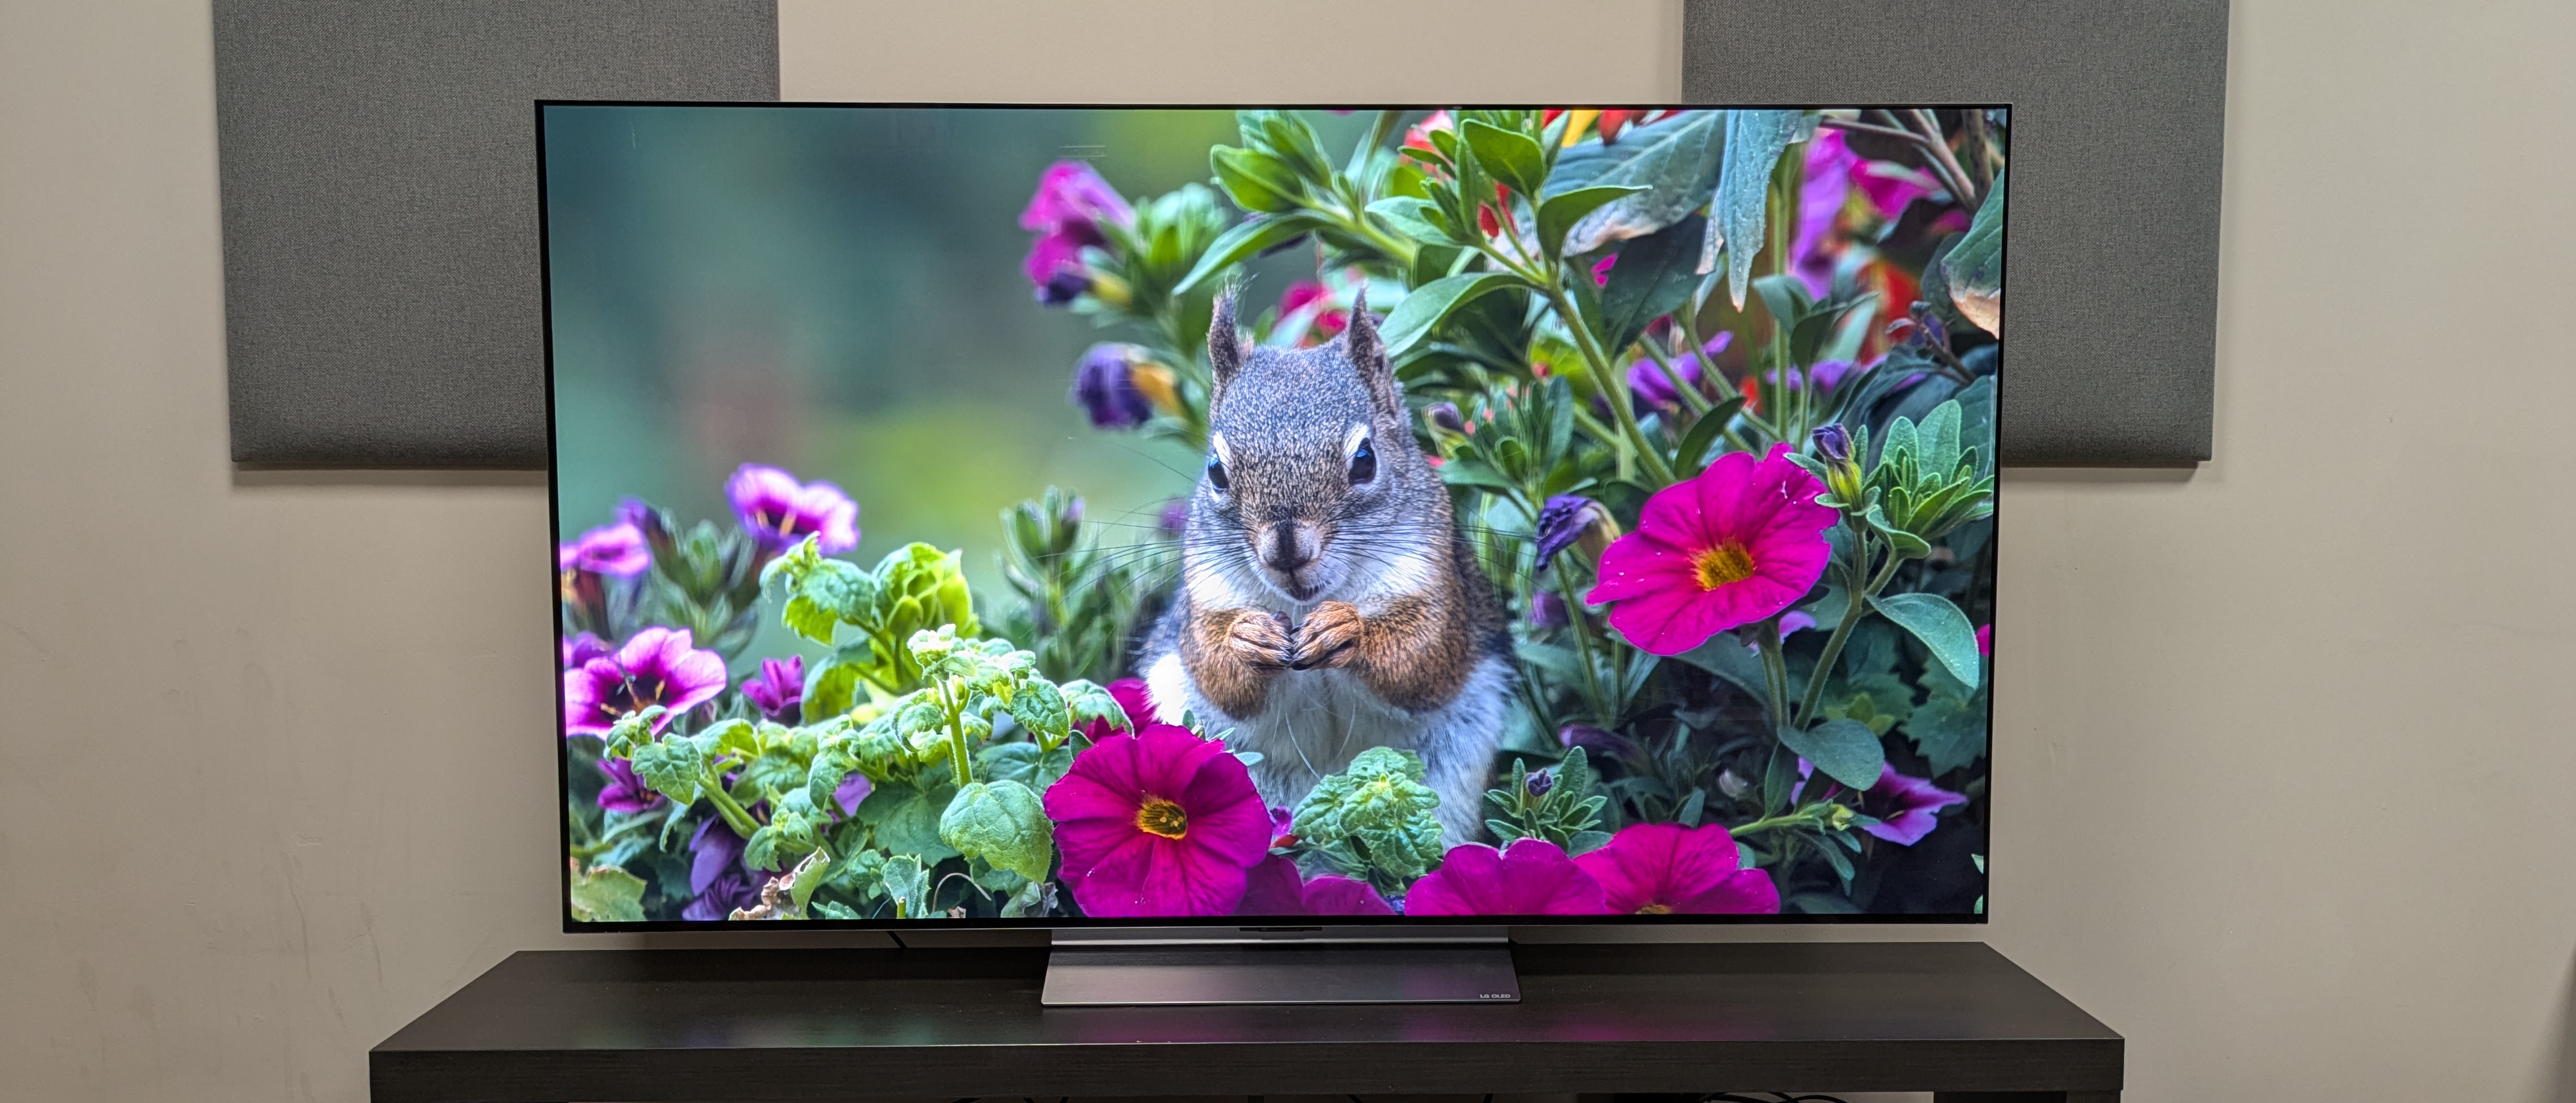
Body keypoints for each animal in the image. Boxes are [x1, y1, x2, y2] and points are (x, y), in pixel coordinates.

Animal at [1141, 287, 1513, 844]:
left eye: (1365, 460)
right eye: (1216, 471)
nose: (1286, 550)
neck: (1305, 602)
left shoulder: (1436, 581)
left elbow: (1422, 659)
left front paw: (1347, 628)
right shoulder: (1205, 594)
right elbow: (1215, 669)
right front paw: (1247, 637)